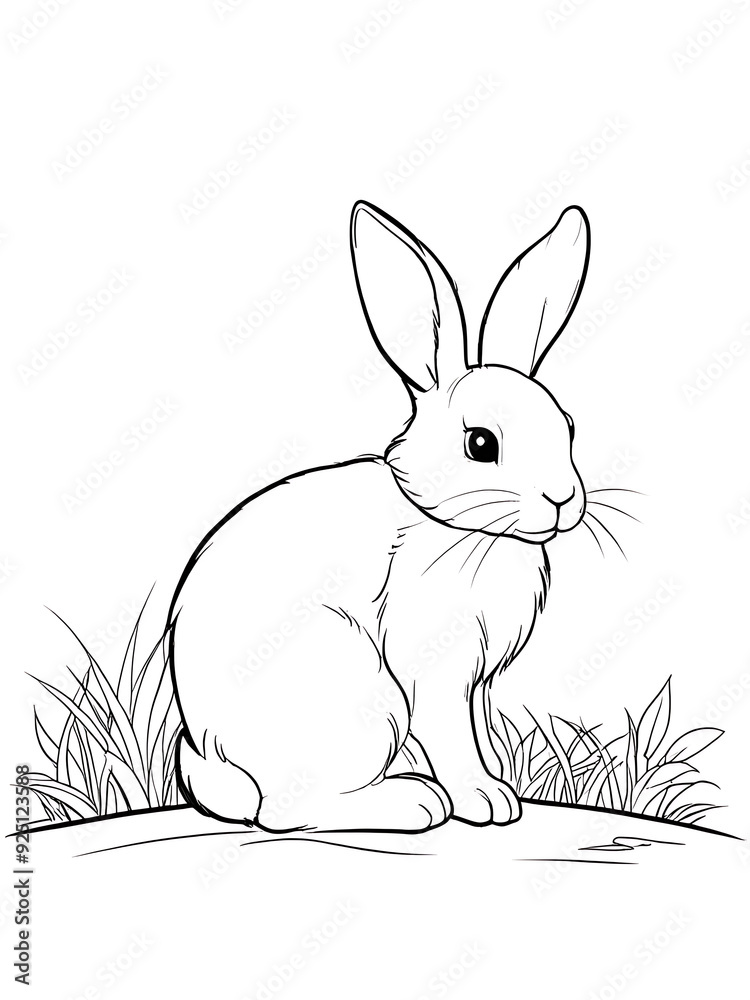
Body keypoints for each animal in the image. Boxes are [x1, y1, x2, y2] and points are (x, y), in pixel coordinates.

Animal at [168, 200, 591, 833]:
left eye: (568, 426)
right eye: (481, 443)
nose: (563, 499)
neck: (461, 529)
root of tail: (221, 761)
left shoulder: (478, 682)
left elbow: (479, 730)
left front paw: (504, 784)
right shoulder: (433, 669)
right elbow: (453, 737)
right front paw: (483, 801)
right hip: (364, 698)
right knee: (290, 811)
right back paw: (415, 803)